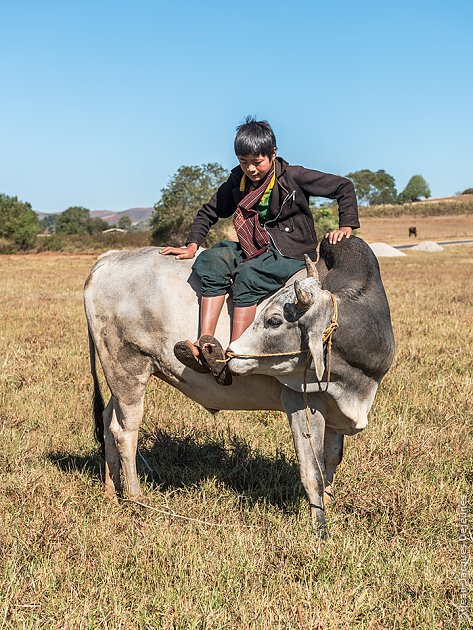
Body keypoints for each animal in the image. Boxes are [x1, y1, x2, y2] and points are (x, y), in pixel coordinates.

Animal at [85, 236, 394, 540]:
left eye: (274, 320)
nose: (232, 353)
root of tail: (109, 259)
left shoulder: (334, 407)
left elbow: (331, 460)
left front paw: (328, 505)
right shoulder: (301, 401)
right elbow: (312, 470)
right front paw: (321, 531)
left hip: (119, 376)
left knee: (108, 422)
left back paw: (112, 493)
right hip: (128, 369)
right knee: (125, 432)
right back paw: (137, 498)